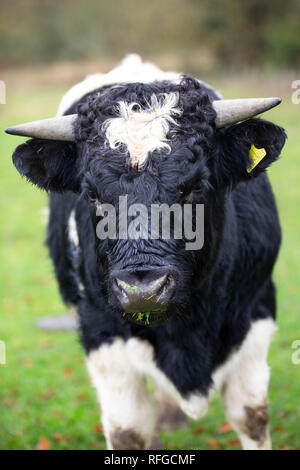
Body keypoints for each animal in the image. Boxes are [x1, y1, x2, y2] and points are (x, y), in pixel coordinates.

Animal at [7, 55, 286, 448]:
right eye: (91, 193)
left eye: (196, 185)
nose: (143, 290)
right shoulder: (102, 335)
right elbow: (128, 431)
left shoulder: (257, 310)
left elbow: (252, 417)